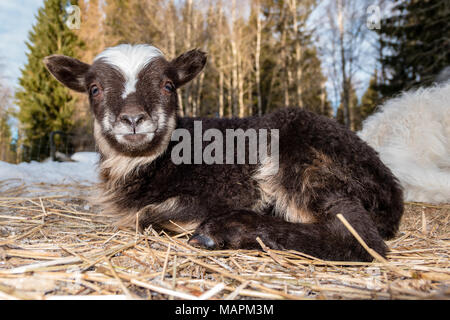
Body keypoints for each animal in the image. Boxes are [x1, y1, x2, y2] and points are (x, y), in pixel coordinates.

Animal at [44, 43, 404, 262]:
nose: (133, 119)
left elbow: (145, 216)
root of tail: (391, 190)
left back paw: (225, 231)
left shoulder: (226, 191)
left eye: (168, 86)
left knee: (359, 237)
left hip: (302, 158)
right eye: (94, 89)